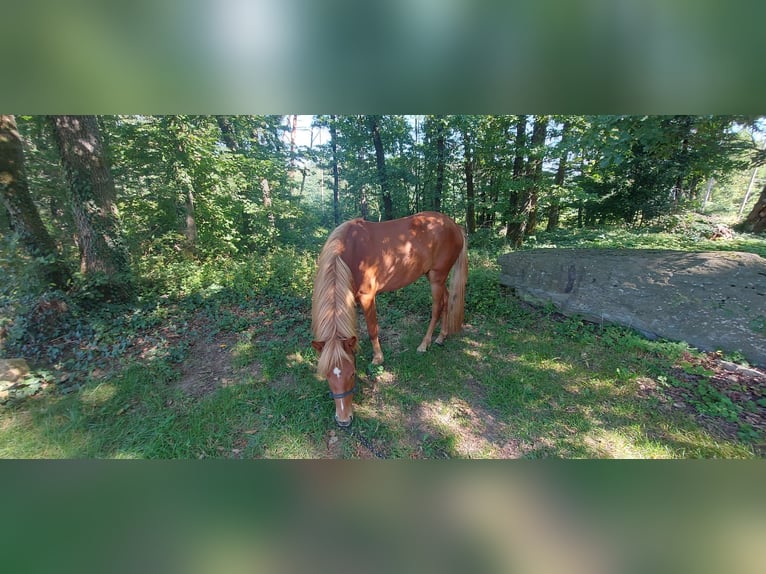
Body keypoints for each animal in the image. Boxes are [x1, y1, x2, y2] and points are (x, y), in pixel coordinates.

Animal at [311, 211, 468, 427]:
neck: (349, 252)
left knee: (438, 307)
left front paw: (378, 358)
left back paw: (424, 344)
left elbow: (372, 329)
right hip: (434, 276)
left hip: (437, 277)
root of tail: (454, 225)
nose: (343, 420)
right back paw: (441, 337)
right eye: (326, 375)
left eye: (352, 373)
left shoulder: (367, 296)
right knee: (446, 301)